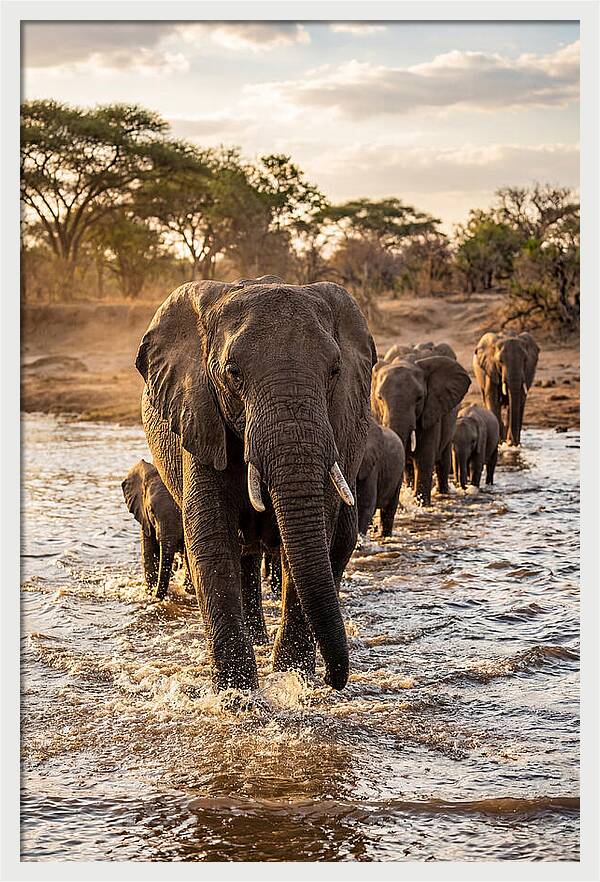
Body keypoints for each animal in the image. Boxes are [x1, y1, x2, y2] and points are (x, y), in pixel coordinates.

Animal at [122, 459, 185, 599]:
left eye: (181, 511)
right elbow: (149, 554)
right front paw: (150, 592)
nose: (156, 595)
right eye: (151, 511)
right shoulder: (144, 518)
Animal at [135, 275, 376, 692]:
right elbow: (211, 539)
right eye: (233, 373)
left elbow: (314, 535)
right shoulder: (199, 414)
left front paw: (293, 681)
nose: (333, 680)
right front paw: (239, 696)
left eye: (334, 371)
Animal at [371, 343, 471, 505]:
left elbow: (424, 460)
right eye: (379, 398)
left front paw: (422, 505)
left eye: (419, 398)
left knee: (443, 460)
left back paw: (443, 493)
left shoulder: (432, 409)